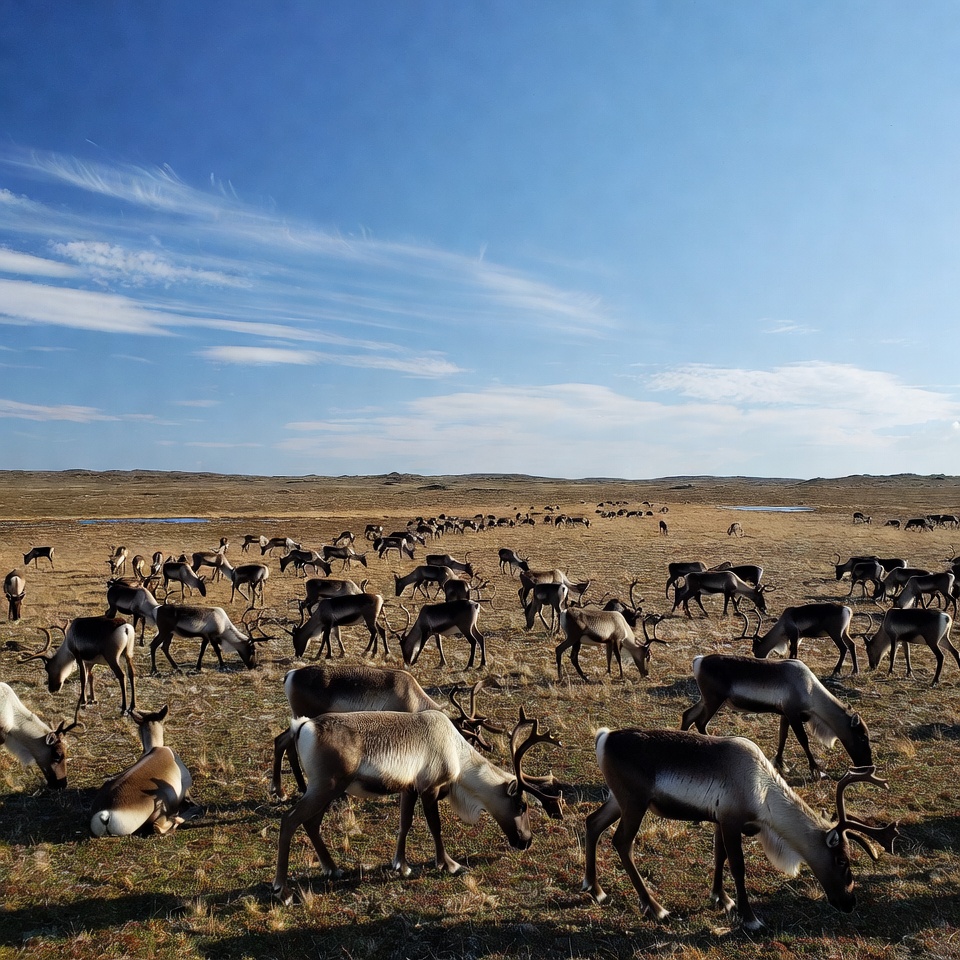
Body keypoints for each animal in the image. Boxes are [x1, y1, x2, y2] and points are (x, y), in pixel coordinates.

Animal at [271, 708, 564, 904]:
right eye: (522, 805)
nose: (526, 841)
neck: (457, 754)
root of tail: (303, 725)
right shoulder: (429, 788)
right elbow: (435, 827)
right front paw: (449, 864)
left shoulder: (409, 788)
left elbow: (405, 824)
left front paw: (401, 864)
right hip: (325, 787)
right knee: (290, 819)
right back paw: (283, 890)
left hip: (327, 789)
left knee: (310, 822)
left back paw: (332, 868)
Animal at [582, 729, 898, 930]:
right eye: (842, 860)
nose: (850, 902)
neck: (762, 793)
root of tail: (603, 737)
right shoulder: (732, 821)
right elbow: (737, 867)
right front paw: (750, 917)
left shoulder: (720, 820)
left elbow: (719, 857)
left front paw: (721, 899)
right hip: (634, 802)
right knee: (622, 842)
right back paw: (656, 908)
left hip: (618, 800)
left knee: (592, 823)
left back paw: (595, 889)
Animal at [680, 654, 873, 778]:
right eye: (862, 737)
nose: (868, 765)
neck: (810, 690)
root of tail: (698, 661)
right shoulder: (793, 713)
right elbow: (803, 740)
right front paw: (815, 769)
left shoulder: (785, 714)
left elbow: (782, 737)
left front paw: (780, 763)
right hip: (714, 700)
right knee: (700, 722)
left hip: (707, 700)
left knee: (688, 715)